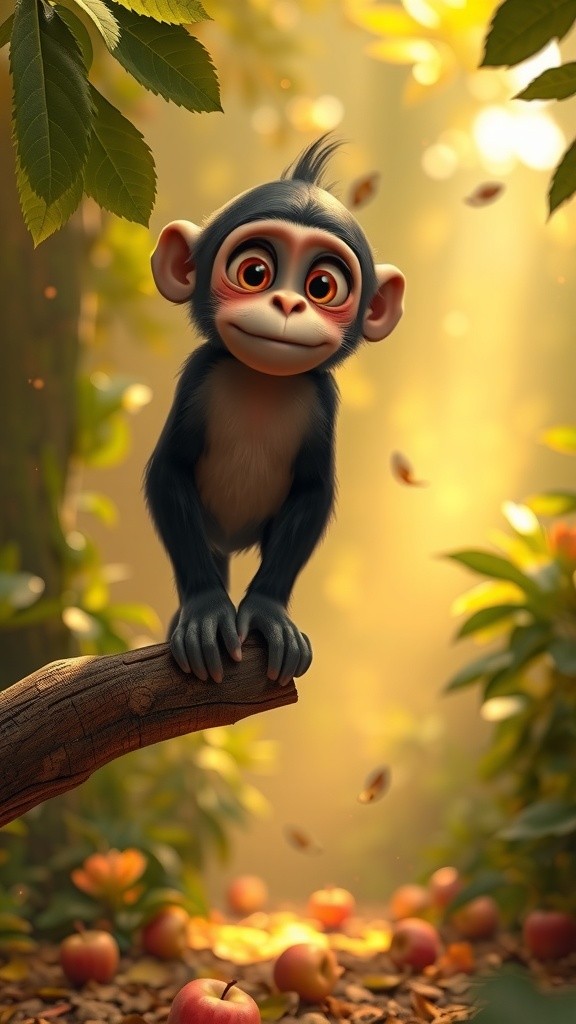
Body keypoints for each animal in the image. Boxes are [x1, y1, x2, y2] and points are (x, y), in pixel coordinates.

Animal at [145, 136, 405, 687]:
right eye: (255, 273)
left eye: (322, 286)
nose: (287, 303)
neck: (263, 382)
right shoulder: (198, 378)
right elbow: (169, 471)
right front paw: (204, 611)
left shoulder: (323, 402)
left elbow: (311, 492)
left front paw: (267, 611)